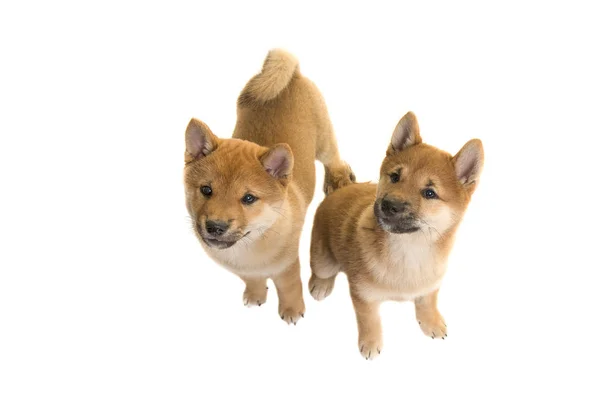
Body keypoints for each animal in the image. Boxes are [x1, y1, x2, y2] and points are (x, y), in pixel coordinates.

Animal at [180, 50, 354, 324]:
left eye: (249, 198)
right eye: (206, 190)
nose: (215, 227)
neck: (251, 244)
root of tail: (292, 75)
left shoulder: (287, 267)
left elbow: (290, 289)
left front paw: (292, 311)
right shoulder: (244, 271)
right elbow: (253, 280)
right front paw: (255, 295)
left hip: (325, 141)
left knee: (335, 160)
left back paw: (339, 180)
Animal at [310, 111, 482, 358]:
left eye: (430, 193)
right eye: (394, 177)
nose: (389, 205)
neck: (408, 251)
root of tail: (340, 189)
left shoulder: (431, 284)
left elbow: (428, 301)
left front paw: (431, 321)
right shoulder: (363, 295)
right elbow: (369, 321)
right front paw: (371, 342)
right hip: (323, 259)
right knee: (321, 271)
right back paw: (320, 285)